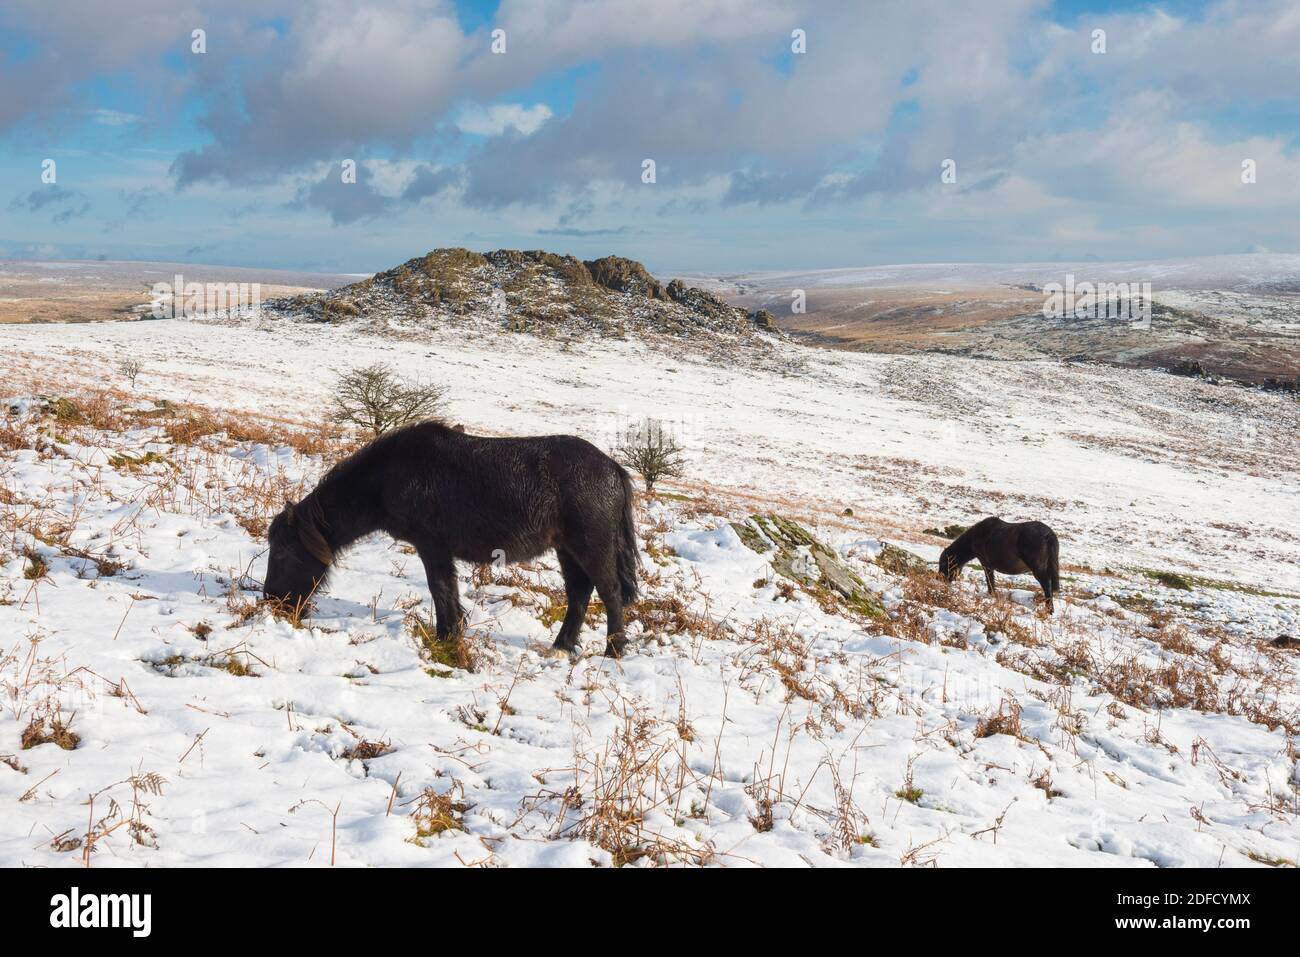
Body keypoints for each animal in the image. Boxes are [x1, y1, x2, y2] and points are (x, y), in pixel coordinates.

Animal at [263, 421, 640, 657]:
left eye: (281, 550)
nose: (272, 600)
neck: (391, 475)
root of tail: (613, 469)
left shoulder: (432, 547)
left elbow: (440, 588)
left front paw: (445, 636)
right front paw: (452, 633)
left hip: (591, 546)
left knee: (610, 593)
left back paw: (613, 651)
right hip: (567, 549)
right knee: (579, 594)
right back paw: (561, 647)